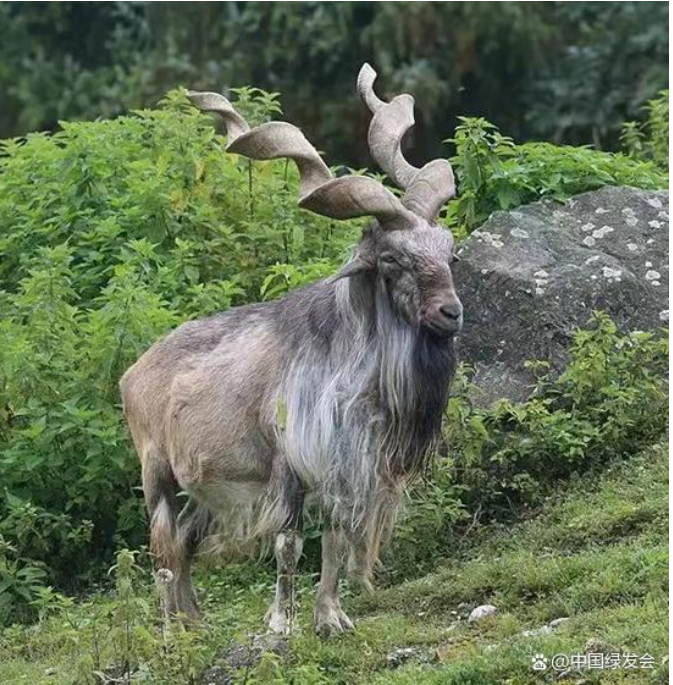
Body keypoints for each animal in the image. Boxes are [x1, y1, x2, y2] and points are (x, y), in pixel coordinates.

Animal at [121, 65, 462, 636]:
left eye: (448, 251)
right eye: (392, 260)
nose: (451, 312)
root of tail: (133, 373)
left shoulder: (344, 469)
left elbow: (335, 540)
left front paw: (332, 618)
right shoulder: (289, 466)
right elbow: (289, 544)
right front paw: (280, 626)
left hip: (210, 486)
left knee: (185, 540)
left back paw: (195, 624)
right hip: (156, 472)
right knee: (163, 548)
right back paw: (172, 631)